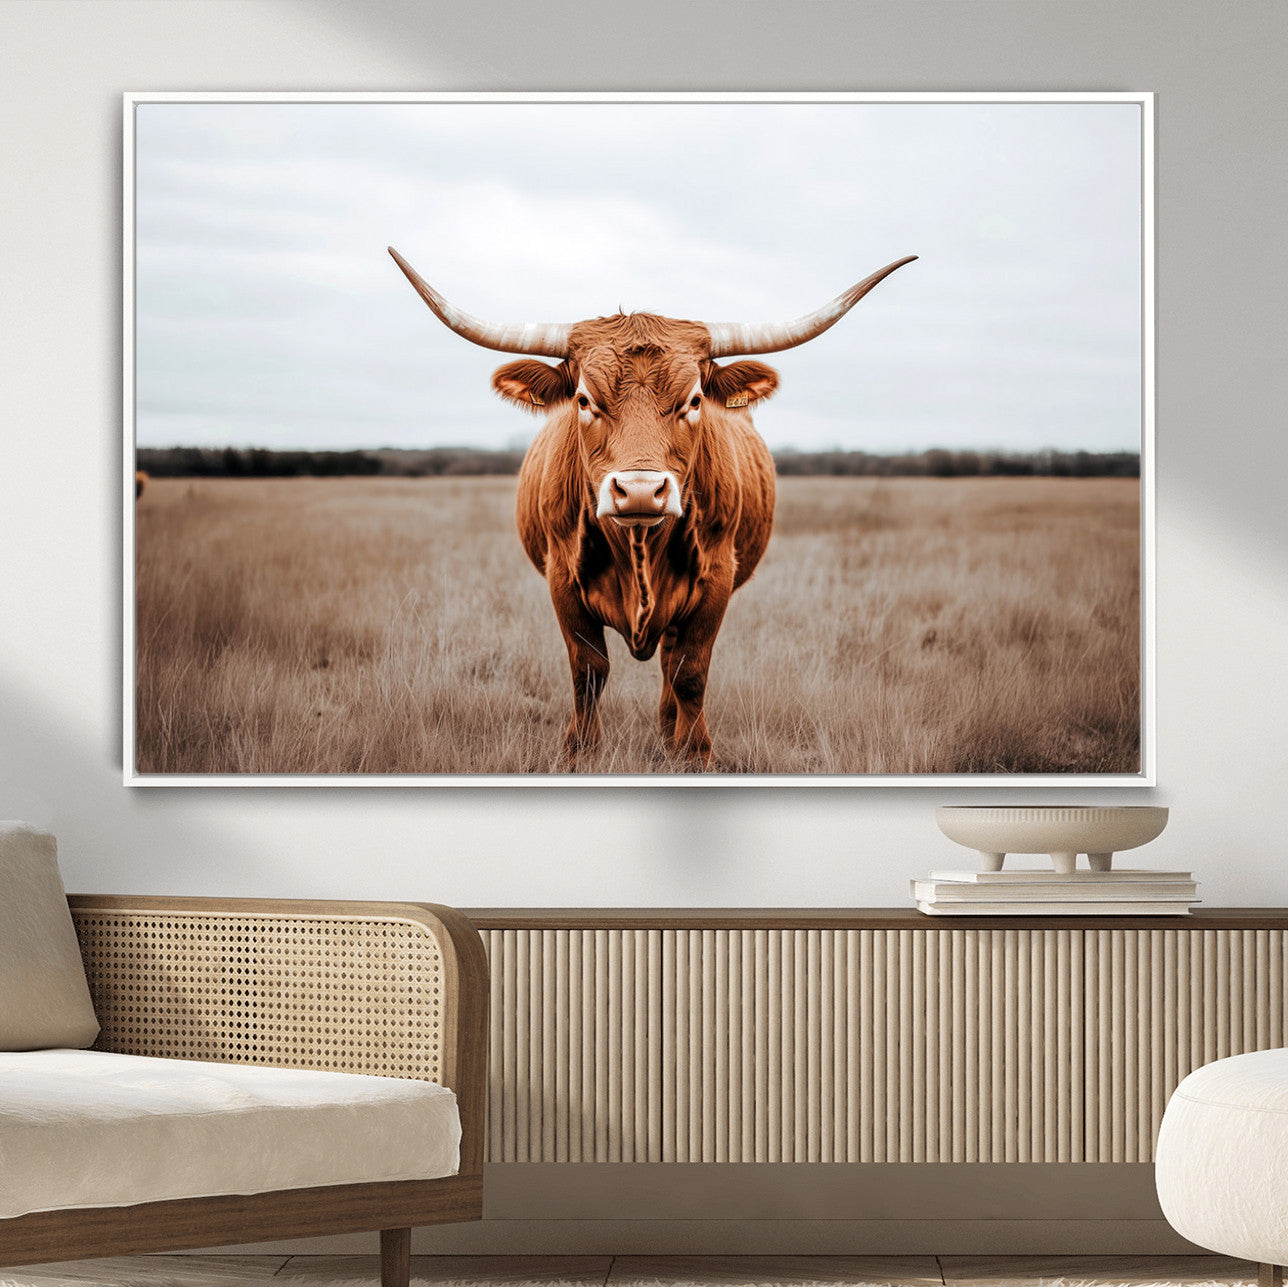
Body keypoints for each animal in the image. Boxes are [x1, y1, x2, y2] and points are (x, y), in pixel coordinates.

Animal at [390, 247, 915, 768]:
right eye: (584, 399)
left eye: (695, 400)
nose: (641, 491)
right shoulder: (562, 578)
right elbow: (589, 670)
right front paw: (581, 753)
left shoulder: (716, 579)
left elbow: (689, 671)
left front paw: (695, 753)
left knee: (669, 661)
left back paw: (669, 734)